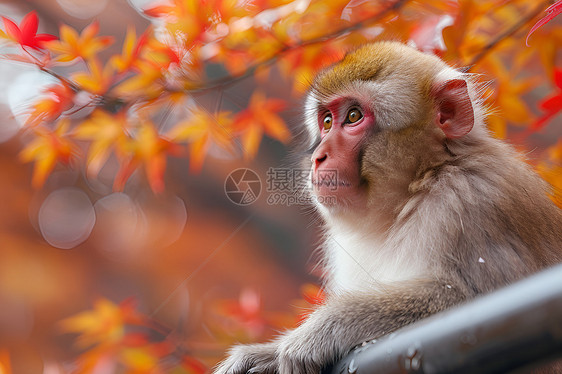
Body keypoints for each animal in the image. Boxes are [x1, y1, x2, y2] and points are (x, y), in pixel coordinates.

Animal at [212, 41, 560, 374]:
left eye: (353, 116)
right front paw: (263, 356)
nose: (319, 157)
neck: (418, 185)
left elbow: (474, 298)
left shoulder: (470, 200)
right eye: (327, 121)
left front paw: (325, 328)